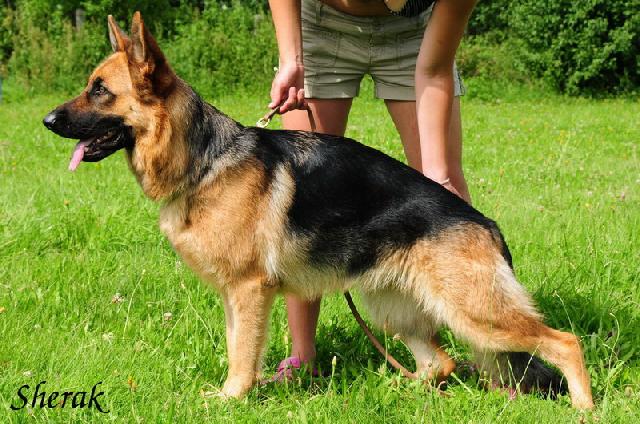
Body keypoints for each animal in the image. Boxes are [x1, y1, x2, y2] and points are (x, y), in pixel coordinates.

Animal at [43, 13, 593, 409]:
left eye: (99, 90)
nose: (45, 120)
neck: (204, 159)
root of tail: (487, 225)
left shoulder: (248, 291)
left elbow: (242, 352)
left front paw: (230, 399)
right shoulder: (233, 296)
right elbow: (237, 344)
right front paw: (236, 392)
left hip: (474, 313)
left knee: (564, 342)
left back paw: (584, 408)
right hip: (392, 308)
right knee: (440, 363)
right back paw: (402, 390)